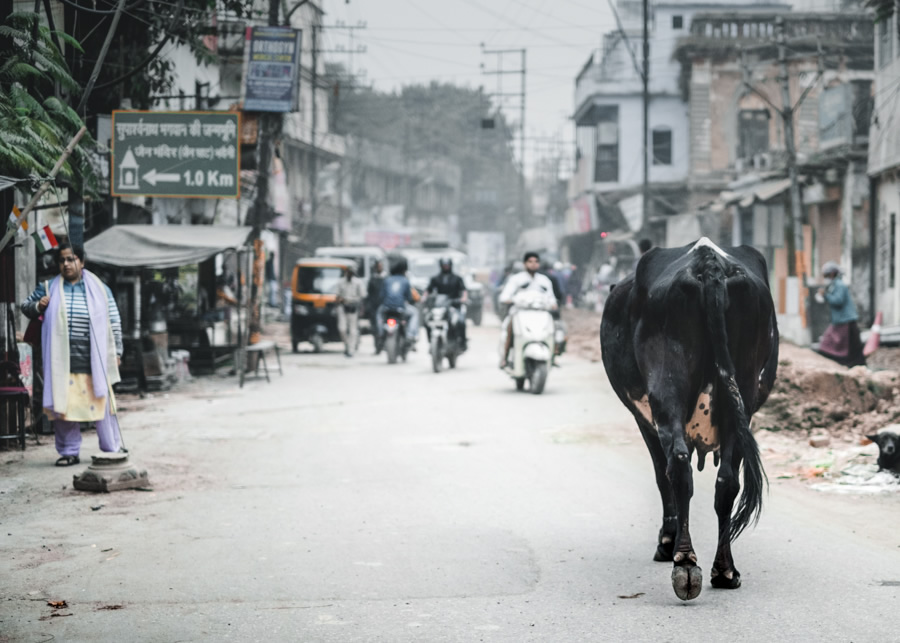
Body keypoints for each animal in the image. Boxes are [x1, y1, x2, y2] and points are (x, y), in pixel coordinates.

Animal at [596, 238, 780, 604]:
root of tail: (708, 264)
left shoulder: (644, 418)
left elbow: (660, 475)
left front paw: (665, 542)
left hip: (667, 390)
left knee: (678, 467)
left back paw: (683, 561)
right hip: (741, 398)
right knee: (726, 481)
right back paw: (723, 570)